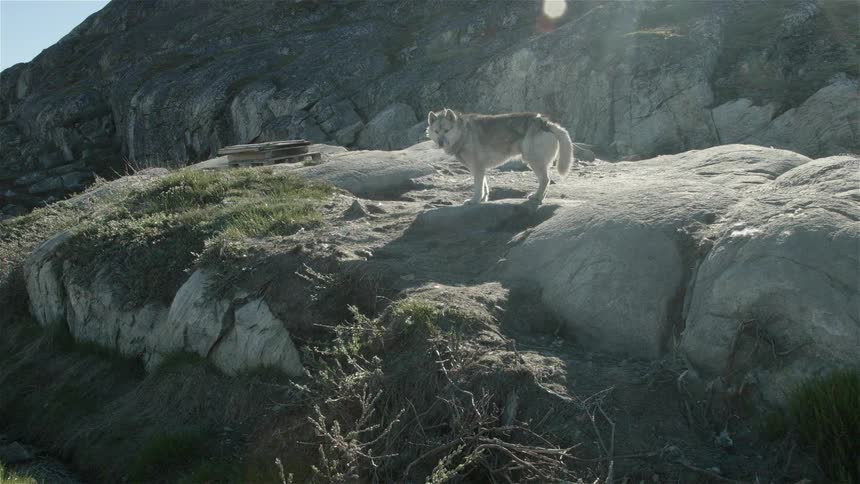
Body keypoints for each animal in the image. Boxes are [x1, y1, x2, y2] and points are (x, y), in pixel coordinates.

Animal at [426, 108, 574, 204]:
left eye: (447, 130)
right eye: (436, 131)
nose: (440, 143)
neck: (464, 133)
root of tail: (544, 122)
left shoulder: (477, 168)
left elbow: (478, 188)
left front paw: (474, 201)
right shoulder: (479, 169)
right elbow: (484, 186)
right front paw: (483, 200)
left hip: (533, 161)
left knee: (545, 180)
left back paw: (537, 197)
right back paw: (539, 197)